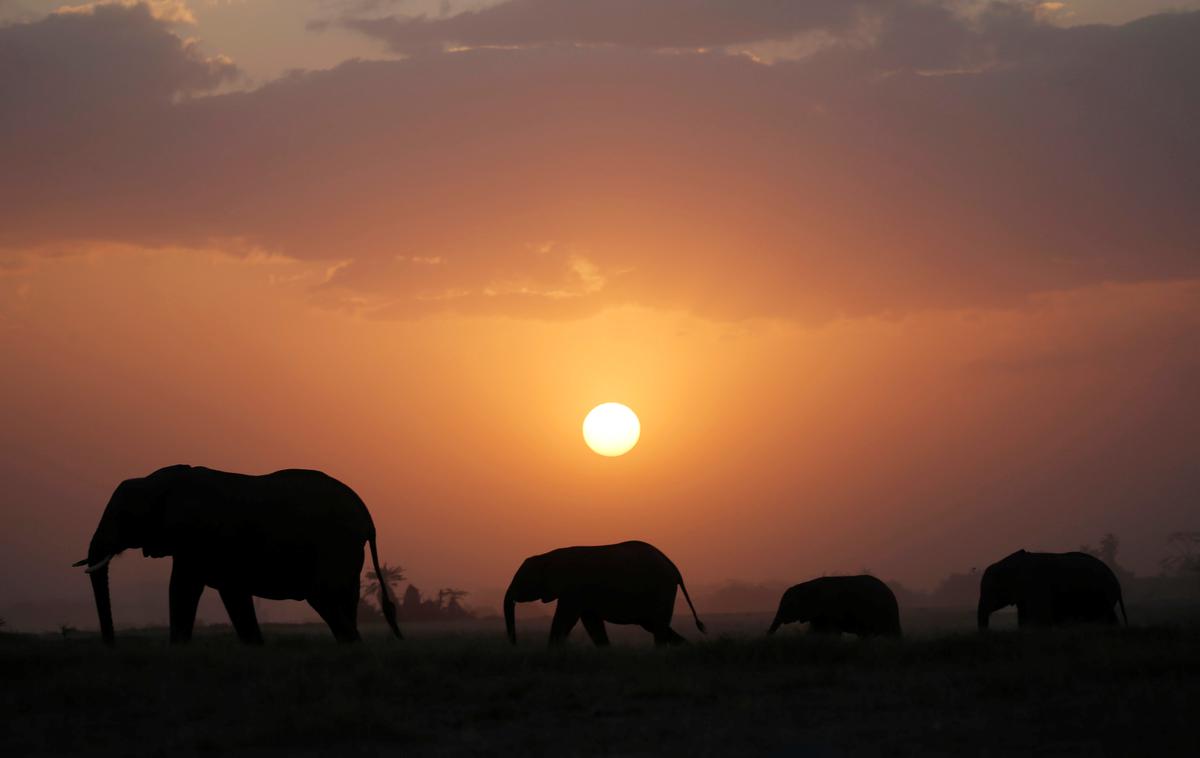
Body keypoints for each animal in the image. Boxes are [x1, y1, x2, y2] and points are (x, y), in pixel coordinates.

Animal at [75, 462, 403, 647]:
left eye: (122, 516)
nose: (111, 645)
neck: (158, 480)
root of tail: (366, 516)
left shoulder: (197, 536)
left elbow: (190, 588)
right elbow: (200, 589)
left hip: (333, 545)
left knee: (322, 595)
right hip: (348, 553)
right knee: (346, 599)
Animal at [504, 539, 700, 647]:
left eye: (522, 580)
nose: (515, 645)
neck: (548, 556)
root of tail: (674, 568)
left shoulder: (573, 589)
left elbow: (565, 618)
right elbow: (591, 622)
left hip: (661, 590)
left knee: (658, 626)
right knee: (655, 625)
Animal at [768, 578, 902, 638]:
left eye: (788, 605)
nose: (767, 639)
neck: (807, 585)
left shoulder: (830, 611)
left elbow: (833, 632)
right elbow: (813, 632)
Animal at [979, 546, 1128, 628]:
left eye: (989, 591)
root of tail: (1117, 582)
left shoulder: (1036, 585)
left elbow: (1039, 618)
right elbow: (1024, 617)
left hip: (1102, 594)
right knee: (1108, 617)